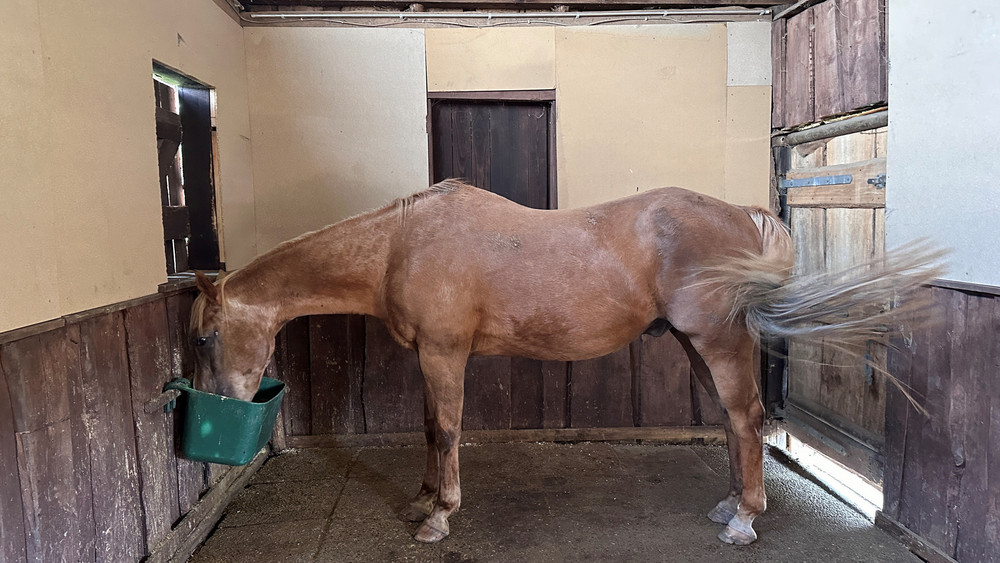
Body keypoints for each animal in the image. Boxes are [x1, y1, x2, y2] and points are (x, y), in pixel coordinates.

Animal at [189, 180, 944, 548]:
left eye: (203, 338)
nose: (220, 412)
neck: (403, 244)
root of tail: (740, 213)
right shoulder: (430, 356)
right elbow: (432, 430)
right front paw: (423, 499)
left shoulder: (445, 353)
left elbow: (450, 430)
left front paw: (440, 517)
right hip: (694, 343)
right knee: (735, 423)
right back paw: (730, 504)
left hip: (718, 339)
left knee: (745, 415)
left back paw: (745, 520)